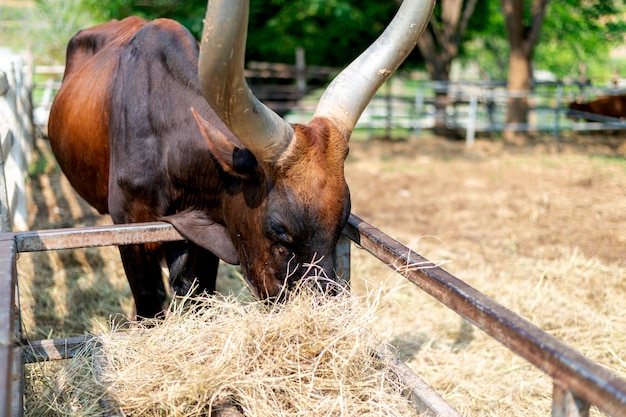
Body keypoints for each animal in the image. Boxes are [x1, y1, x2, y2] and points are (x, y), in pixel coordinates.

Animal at [47, 0, 434, 316]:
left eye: (343, 220)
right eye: (278, 229)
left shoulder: (206, 239)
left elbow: (195, 297)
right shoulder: (132, 235)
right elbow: (150, 308)